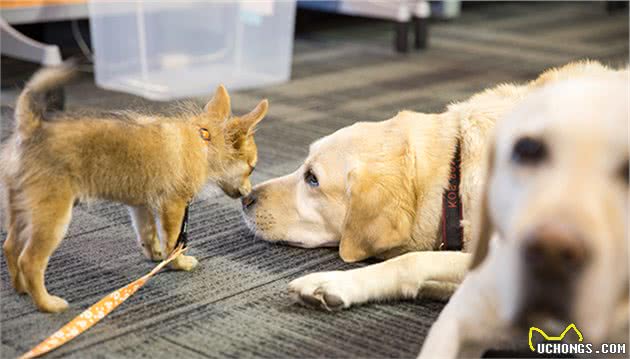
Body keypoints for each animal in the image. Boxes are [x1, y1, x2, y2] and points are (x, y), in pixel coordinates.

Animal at [0, 66, 268, 314]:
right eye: (252, 168)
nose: (249, 194)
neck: (203, 141)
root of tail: (30, 129)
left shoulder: (142, 206)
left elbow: (147, 234)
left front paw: (156, 255)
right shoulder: (174, 205)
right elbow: (174, 240)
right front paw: (178, 263)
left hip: (22, 210)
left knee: (10, 247)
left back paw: (21, 288)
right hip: (52, 217)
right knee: (30, 260)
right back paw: (47, 304)